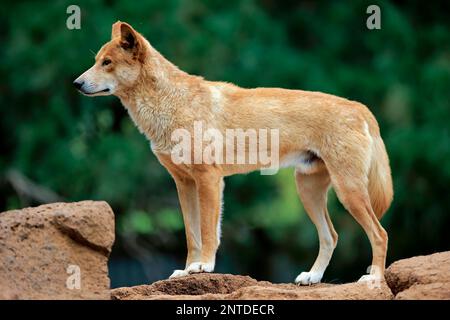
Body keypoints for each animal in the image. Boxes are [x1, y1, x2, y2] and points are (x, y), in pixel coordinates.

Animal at [74, 21, 394, 284]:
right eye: (96, 62)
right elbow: (192, 236)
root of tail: (360, 107)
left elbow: (207, 232)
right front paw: (186, 270)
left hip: (348, 192)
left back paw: (374, 278)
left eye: (107, 63)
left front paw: (203, 267)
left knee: (380, 234)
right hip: (309, 191)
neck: (172, 103)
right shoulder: (184, 184)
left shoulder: (209, 179)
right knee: (331, 237)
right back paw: (312, 277)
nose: (76, 83)